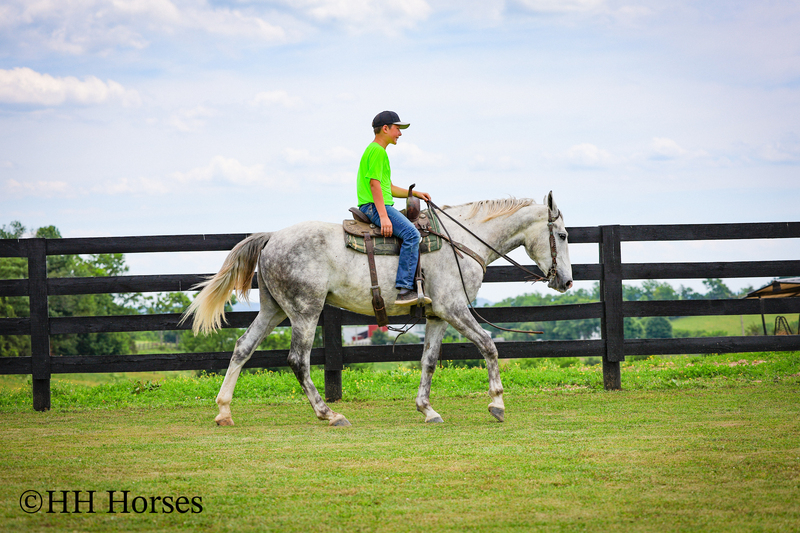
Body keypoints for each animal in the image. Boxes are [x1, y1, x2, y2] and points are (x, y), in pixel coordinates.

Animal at [182, 192, 573, 427]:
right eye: (564, 235)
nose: (566, 281)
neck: (461, 241)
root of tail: (272, 237)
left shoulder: (437, 316)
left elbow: (429, 361)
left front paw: (427, 409)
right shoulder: (454, 308)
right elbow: (489, 345)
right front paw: (497, 404)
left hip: (273, 310)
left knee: (242, 348)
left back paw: (224, 410)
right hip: (305, 311)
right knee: (298, 360)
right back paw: (329, 413)